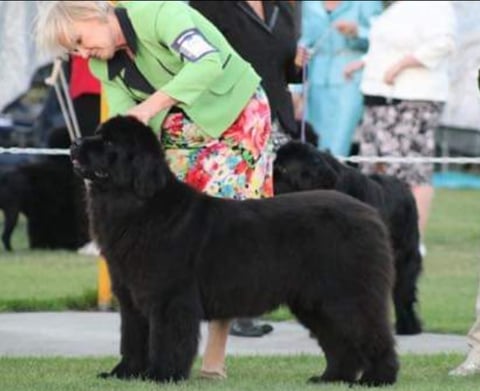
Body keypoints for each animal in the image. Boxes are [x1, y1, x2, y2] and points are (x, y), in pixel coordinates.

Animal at [68, 115, 398, 386]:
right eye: (97, 133)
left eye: (109, 142)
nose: (74, 144)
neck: (139, 205)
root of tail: (366, 212)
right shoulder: (132, 297)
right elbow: (132, 338)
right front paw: (124, 374)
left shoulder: (170, 298)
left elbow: (167, 339)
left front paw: (161, 375)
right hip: (316, 301)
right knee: (340, 343)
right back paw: (331, 377)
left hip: (347, 295)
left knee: (374, 334)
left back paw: (378, 378)